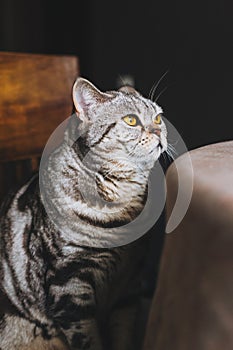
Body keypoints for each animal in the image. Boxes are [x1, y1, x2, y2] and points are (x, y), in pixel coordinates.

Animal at [0, 78, 167, 348]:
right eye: (131, 120)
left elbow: (123, 334)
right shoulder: (68, 288)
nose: (159, 131)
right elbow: (88, 339)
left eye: (159, 118)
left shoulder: (129, 287)